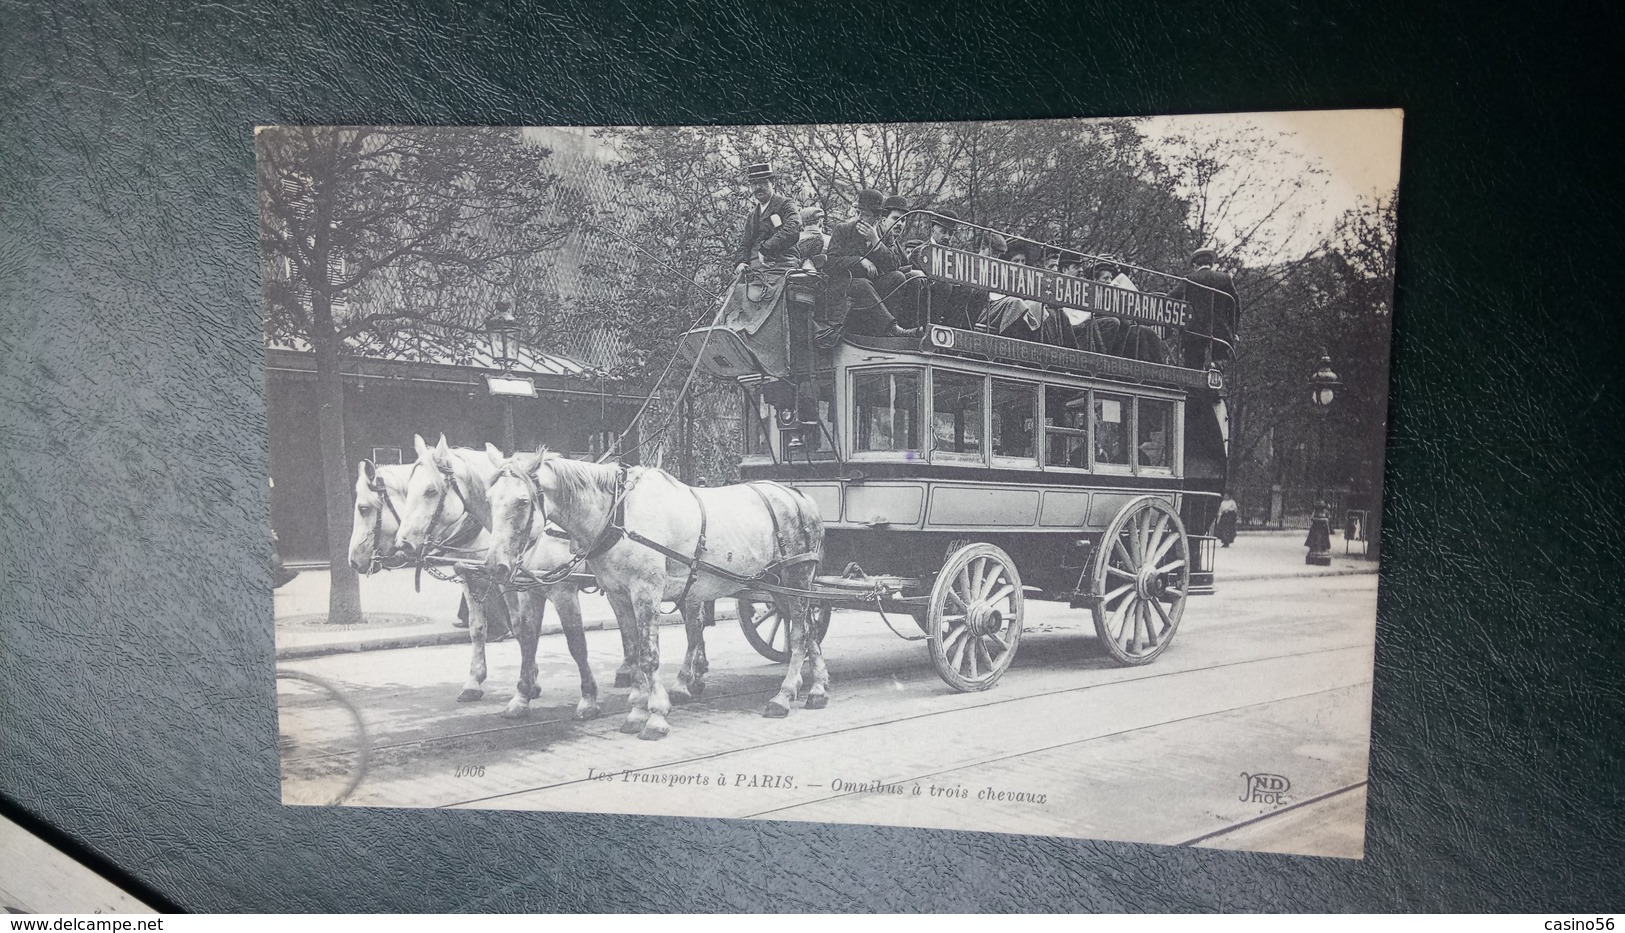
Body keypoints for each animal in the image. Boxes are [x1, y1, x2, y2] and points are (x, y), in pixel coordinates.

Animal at [393, 435, 640, 715]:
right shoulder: (502, 585)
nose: (402, 544)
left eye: (431, 491)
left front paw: (583, 698)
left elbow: (574, 641)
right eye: (408, 489)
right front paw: (503, 686)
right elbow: (506, 631)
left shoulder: (560, 591)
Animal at [474, 448, 819, 741]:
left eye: (522, 502)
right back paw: (817, 688)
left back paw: (785, 695)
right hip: (778, 587)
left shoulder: (644, 592)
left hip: (797, 578)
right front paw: (638, 710)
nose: (494, 567)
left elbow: (648, 655)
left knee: (800, 634)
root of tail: (799, 496)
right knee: (808, 631)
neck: (619, 516)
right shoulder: (618, 595)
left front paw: (655, 716)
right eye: (488, 499)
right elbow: (633, 648)